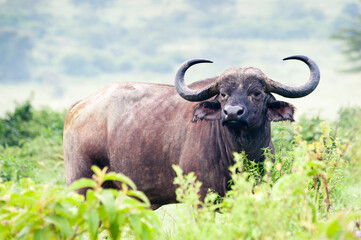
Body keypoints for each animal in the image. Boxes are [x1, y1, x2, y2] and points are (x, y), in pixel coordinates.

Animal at [63, 55, 320, 209]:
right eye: (223, 93)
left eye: (256, 93)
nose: (233, 113)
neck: (238, 153)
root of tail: (78, 107)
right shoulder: (201, 200)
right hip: (81, 185)